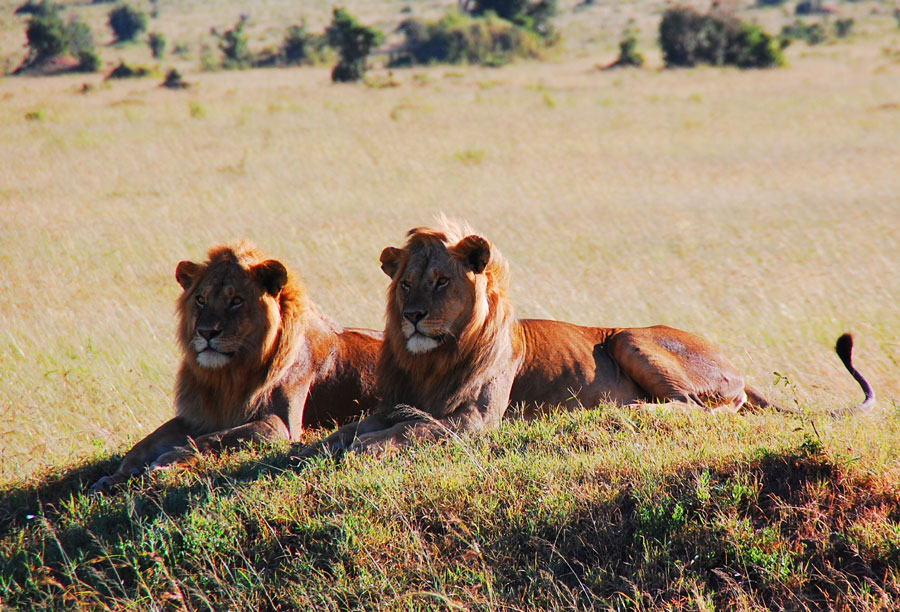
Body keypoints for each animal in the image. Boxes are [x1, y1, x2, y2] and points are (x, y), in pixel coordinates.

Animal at [91, 242, 381, 491]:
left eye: (236, 301)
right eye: (201, 299)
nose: (207, 332)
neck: (229, 376)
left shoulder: (282, 425)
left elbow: (214, 438)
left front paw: (166, 462)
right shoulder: (200, 416)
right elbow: (147, 441)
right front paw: (114, 476)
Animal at [310, 221, 874, 456]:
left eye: (442, 281)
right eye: (405, 283)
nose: (412, 316)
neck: (431, 360)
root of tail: (736, 366)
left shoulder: (474, 420)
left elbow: (408, 432)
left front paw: (365, 447)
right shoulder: (396, 401)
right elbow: (355, 427)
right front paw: (319, 448)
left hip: (628, 337)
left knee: (699, 408)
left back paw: (630, 411)